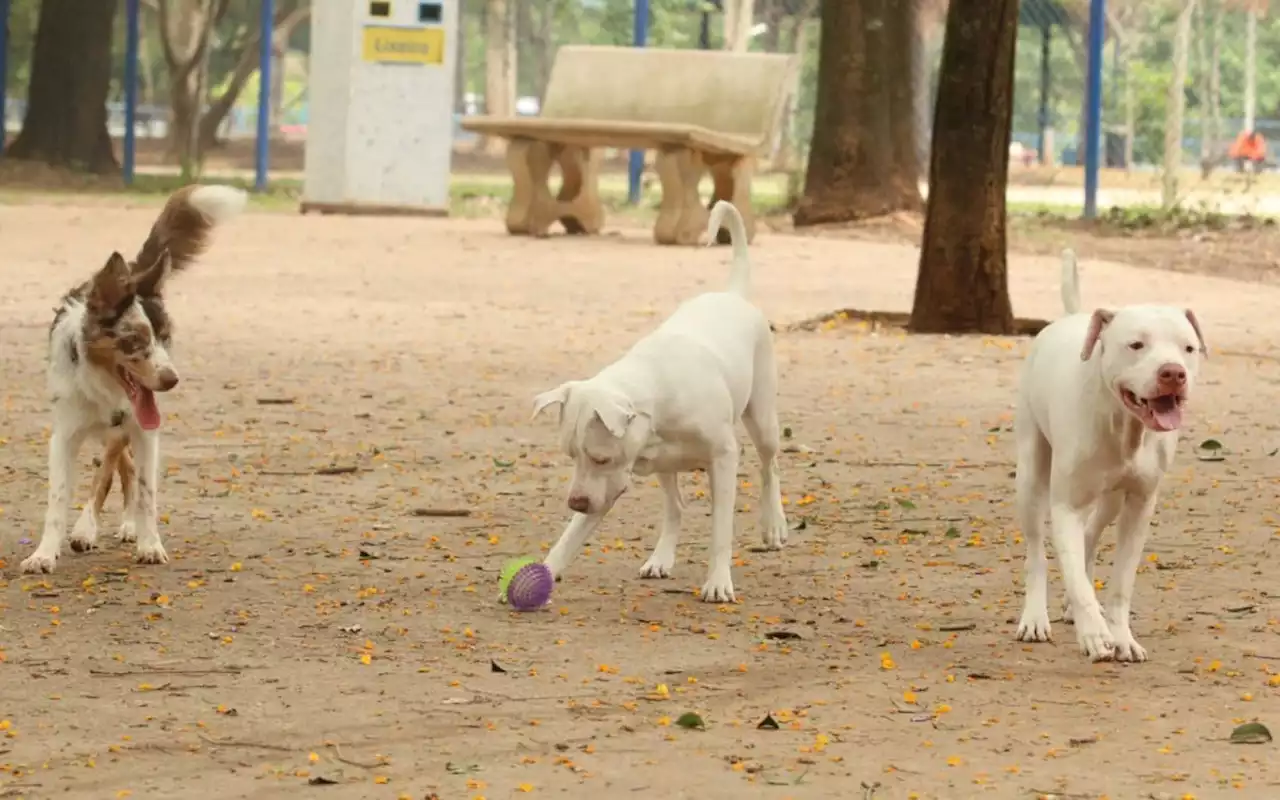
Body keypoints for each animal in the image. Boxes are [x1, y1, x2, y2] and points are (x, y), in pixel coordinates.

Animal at [19, 185, 244, 573]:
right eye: (135, 341)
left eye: (165, 337)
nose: (172, 380)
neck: (105, 388)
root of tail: (132, 273)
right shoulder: (64, 435)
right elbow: (58, 498)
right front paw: (44, 553)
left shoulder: (144, 430)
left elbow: (144, 491)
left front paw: (149, 543)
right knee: (115, 466)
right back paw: (91, 528)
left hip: (125, 427)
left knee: (115, 468)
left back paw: (112, 526)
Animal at [529, 199, 788, 599]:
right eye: (572, 456)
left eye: (600, 458)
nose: (575, 501)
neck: (655, 395)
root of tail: (732, 294)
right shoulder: (608, 485)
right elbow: (571, 534)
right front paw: (545, 569)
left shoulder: (723, 459)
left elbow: (721, 530)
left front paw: (718, 581)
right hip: (666, 466)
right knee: (675, 506)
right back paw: (661, 558)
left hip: (762, 420)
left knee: (769, 466)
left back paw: (773, 524)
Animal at [1013, 250, 1203, 660]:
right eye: (1136, 345)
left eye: (1188, 348)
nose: (1173, 373)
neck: (1123, 426)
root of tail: (1070, 316)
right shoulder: (1065, 505)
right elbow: (1071, 570)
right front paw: (1095, 634)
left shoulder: (1139, 505)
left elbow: (1120, 583)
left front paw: (1121, 636)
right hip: (1030, 476)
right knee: (1037, 551)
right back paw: (1035, 617)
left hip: (1112, 499)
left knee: (1089, 534)